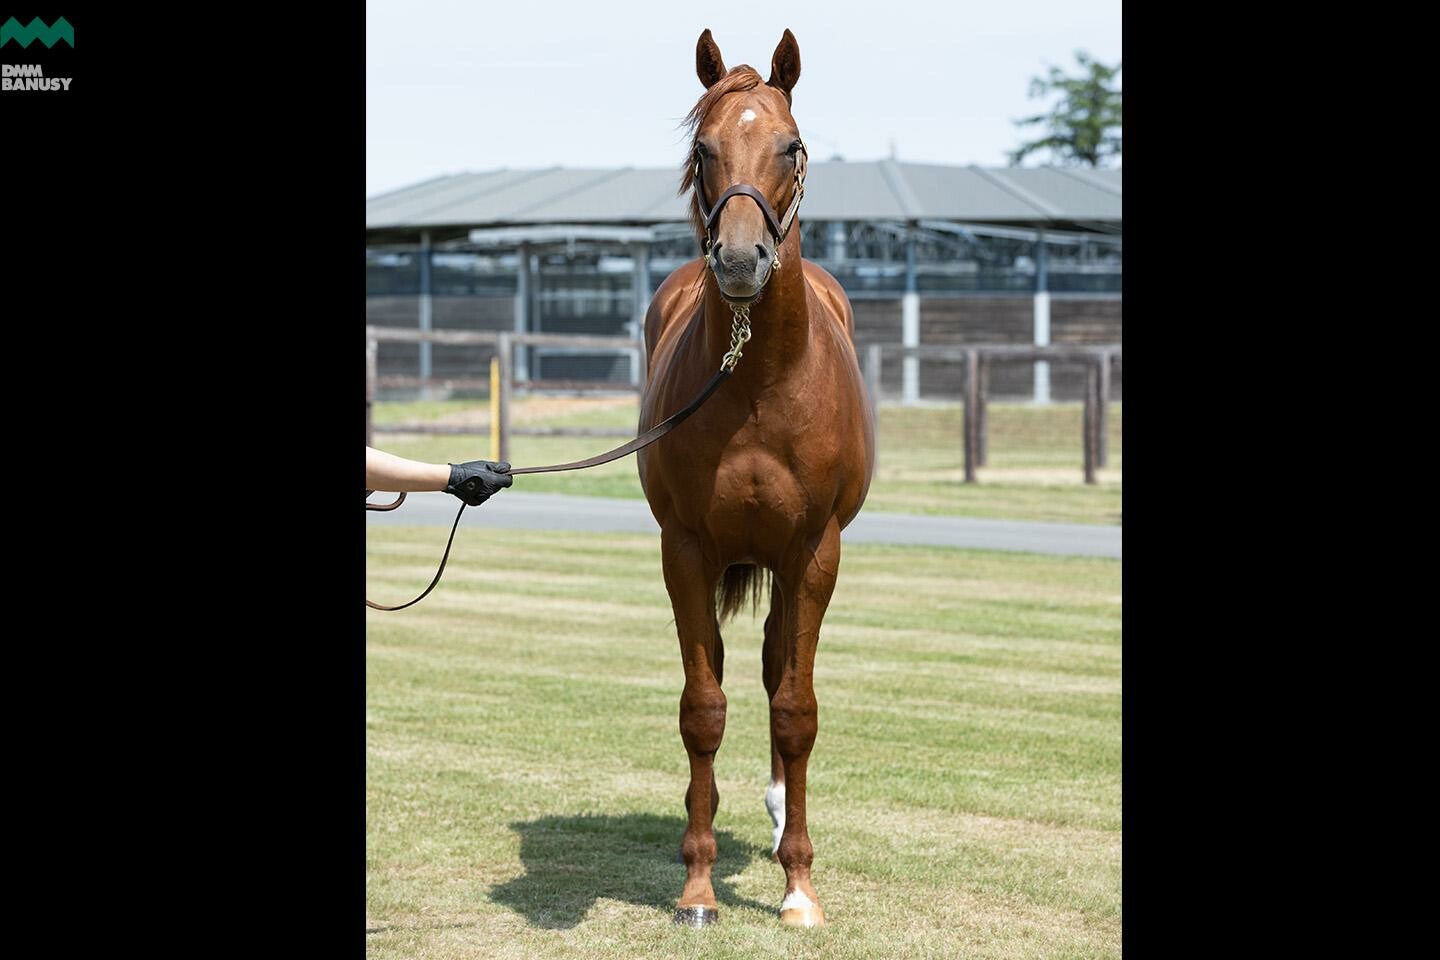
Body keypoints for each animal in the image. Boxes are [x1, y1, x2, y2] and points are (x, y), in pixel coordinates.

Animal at [642, 28, 875, 932]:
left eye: (792, 145)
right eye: (703, 149)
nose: (741, 260)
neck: (756, 385)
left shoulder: (814, 552)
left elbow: (796, 708)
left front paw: (799, 887)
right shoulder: (686, 552)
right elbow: (702, 708)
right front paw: (698, 888)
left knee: (780, 668)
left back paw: (780, 822)